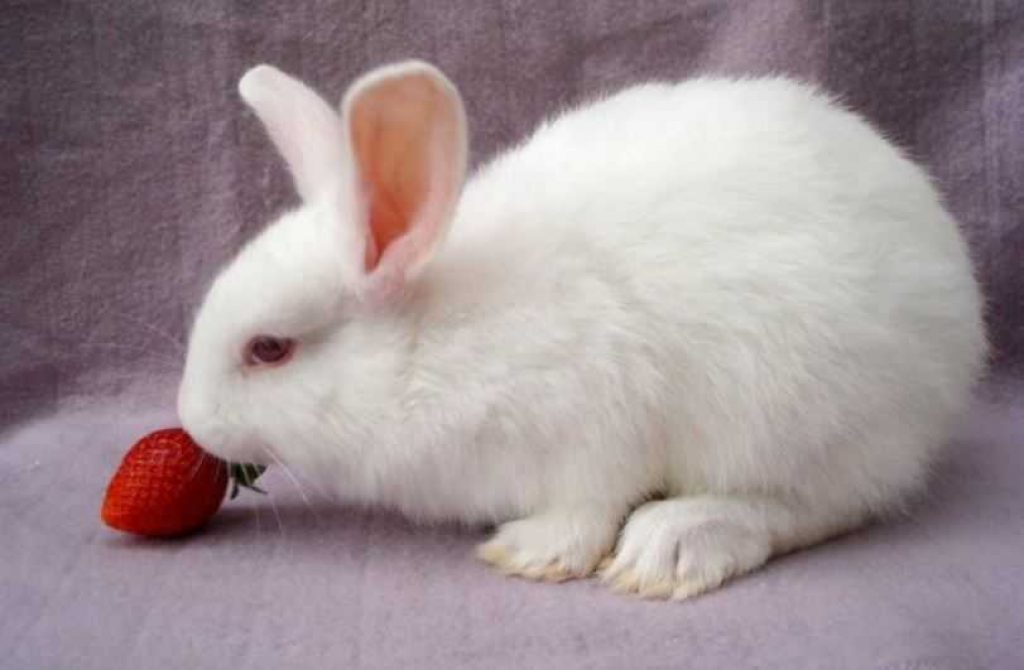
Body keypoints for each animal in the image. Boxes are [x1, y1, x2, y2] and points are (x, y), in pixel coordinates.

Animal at [178, 60, 986, 600]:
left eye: (269, 349)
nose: (190, 422)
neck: (427, 344)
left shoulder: (592, 425)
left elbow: (589, 503)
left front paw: (532, 552)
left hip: (794, 412)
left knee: (817, 506)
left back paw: (671, 546)